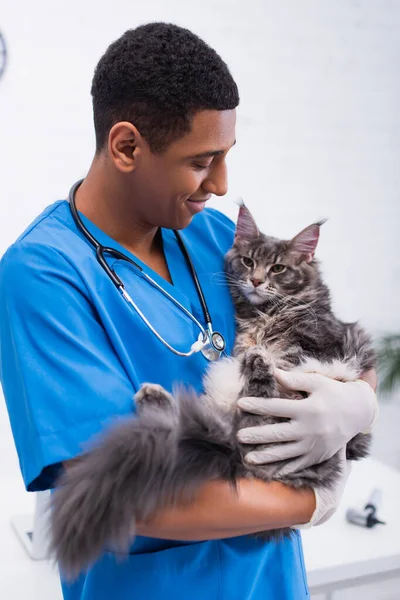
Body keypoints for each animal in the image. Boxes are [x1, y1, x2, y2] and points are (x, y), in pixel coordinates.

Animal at [50, 204, 376, 580]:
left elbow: (291, 370)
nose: (256, 281)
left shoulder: (317, 346)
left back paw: (253, 368)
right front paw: (255, 353)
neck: (263, 314)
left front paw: (262, 357)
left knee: (258, 420)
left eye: (278, 268)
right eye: (248, 261)